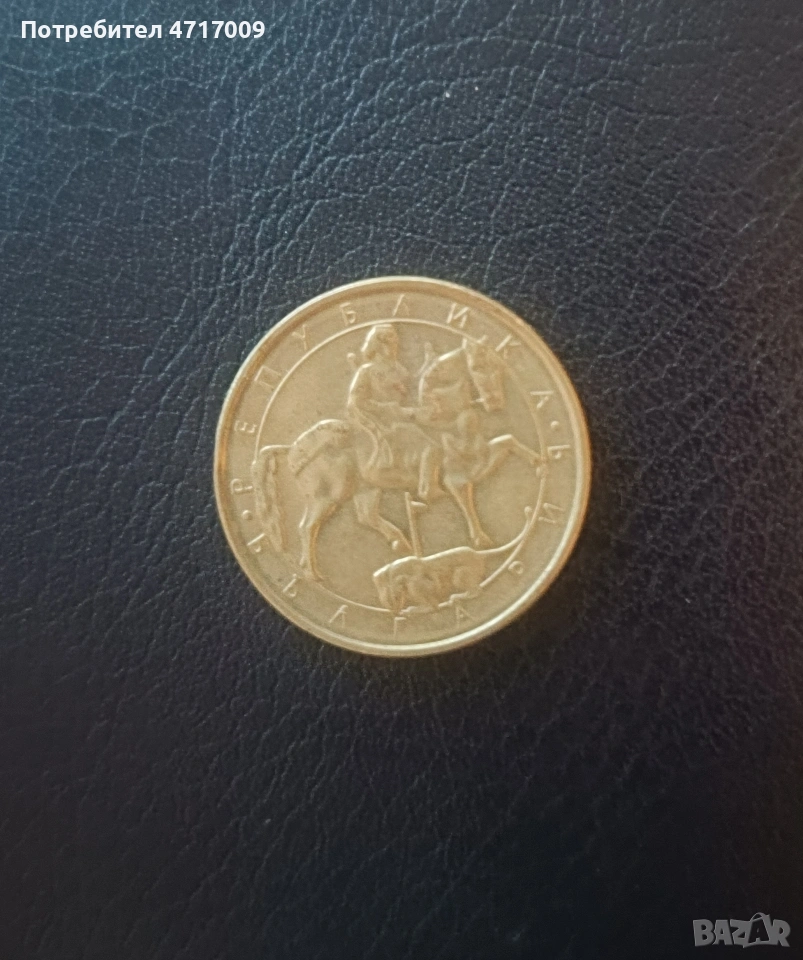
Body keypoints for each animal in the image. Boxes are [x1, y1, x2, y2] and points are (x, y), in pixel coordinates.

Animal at [251, 337, 543, 580]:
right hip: (328, 495)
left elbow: (508, 441)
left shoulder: (479, 464)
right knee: (307, 527)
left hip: (366, 489)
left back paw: (401, 543)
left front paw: (538, 463)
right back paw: (313, 573)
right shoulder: (456, 479)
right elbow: (467, 503)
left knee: (366, 517)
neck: (448, 420)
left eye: (499, 368)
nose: (495, 403)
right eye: (478, 367)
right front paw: (481, 539)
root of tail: (292, 447)